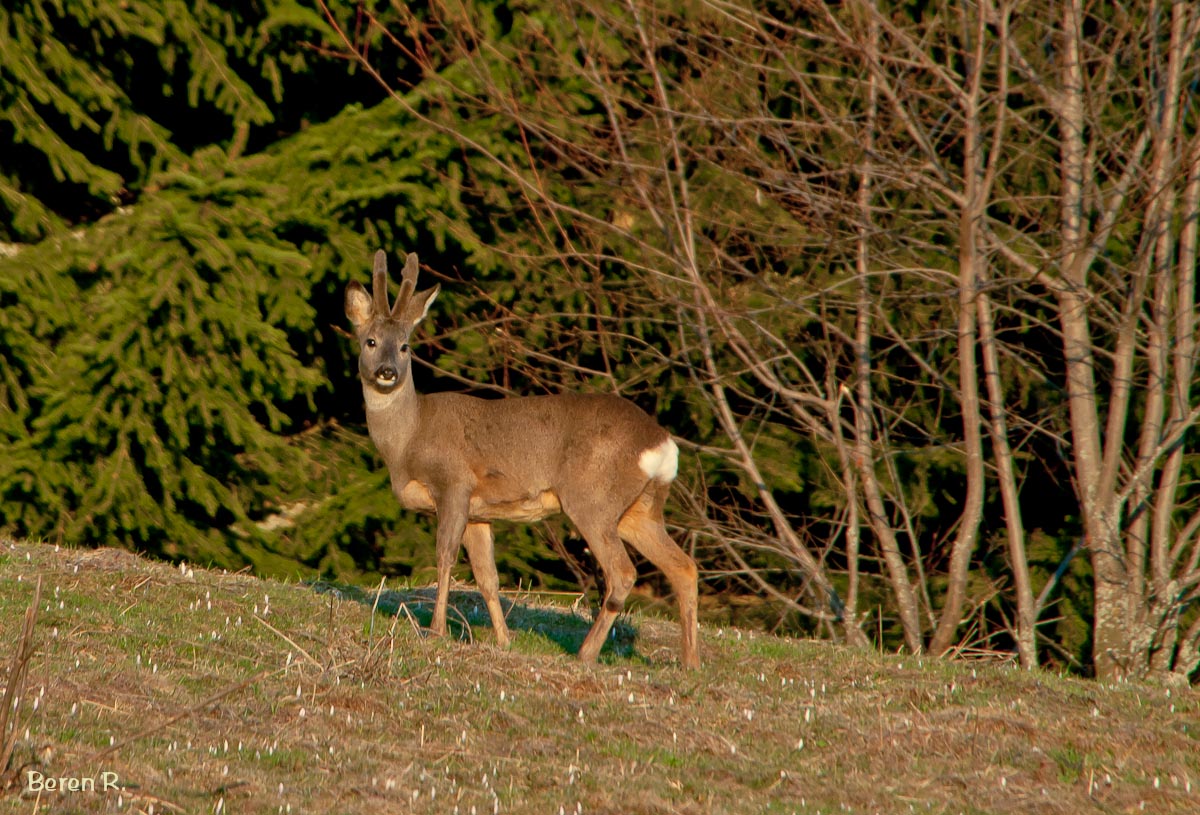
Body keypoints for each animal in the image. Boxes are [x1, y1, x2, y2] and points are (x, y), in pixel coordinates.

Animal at [345, 250, 700, 667]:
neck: (409, 440)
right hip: (640, 509)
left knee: (623, 572)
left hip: (591, 498)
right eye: (370, 341)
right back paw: (690, 664)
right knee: (684, 567)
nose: (387, 372)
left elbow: (445, 557)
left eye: (405, 347)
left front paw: (435, 632)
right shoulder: (480, 512)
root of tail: (662, 444)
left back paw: (585, 653)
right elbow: (488, 576)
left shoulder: (454, 483)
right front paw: (503, 640)